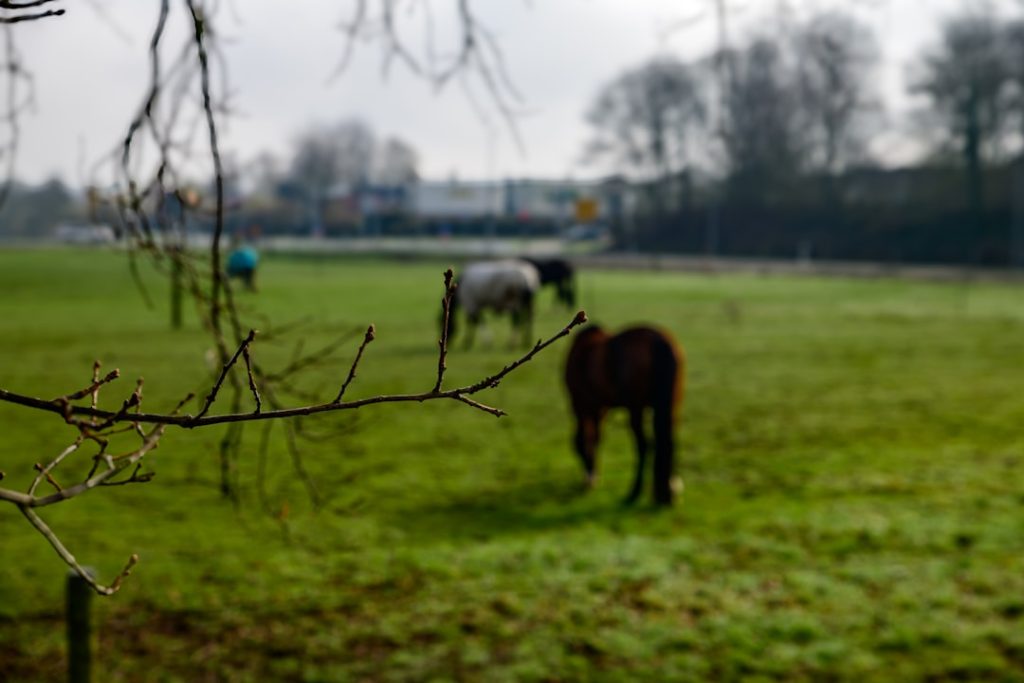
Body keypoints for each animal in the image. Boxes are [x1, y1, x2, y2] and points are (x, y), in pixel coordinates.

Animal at [564, 325, 685, 506]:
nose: (589, 480)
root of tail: (660, 341)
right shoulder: (601, 408)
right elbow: (597, 437)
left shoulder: (583, 404)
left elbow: (589, 438)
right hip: (670, 405)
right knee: (668, 441)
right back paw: (665, 493)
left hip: (635, 407)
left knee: (643, 445)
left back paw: (634, 492)